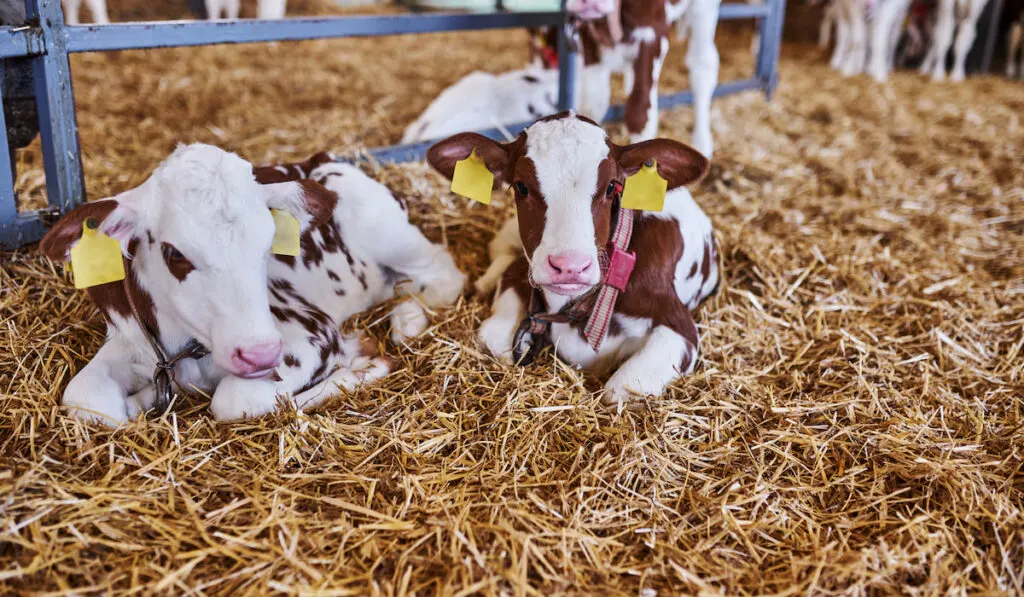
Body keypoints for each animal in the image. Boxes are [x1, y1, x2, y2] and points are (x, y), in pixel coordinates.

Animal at [41, 143, 466, 425]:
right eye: (174, 253)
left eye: (269, 241)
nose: (260, 354)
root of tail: (321, 159)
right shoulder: (133, 340)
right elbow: (87, 400)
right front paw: (139, 400)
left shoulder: (312, 331)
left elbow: (233, 399)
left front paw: (359, 360)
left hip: (388, 231)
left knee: (444, 272)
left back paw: (406, 322)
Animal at [423, 114, 720, 403]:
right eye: (521, 186)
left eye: (611, 186)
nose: (570, 266)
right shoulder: (525, 270)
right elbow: (493, 337)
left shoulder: (678, 327)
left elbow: (619, 390)